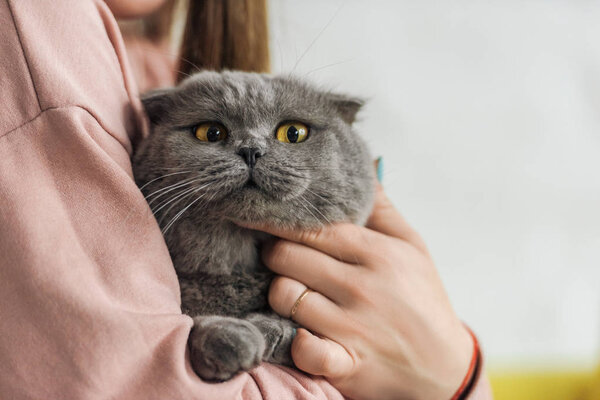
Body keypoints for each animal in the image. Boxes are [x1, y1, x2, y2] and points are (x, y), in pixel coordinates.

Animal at [133, 71, 372, 382]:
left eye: (293, 132)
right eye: (211, 132)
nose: (250, 150)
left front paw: (271, 330)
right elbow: (192, 321)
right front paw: (229, 338)